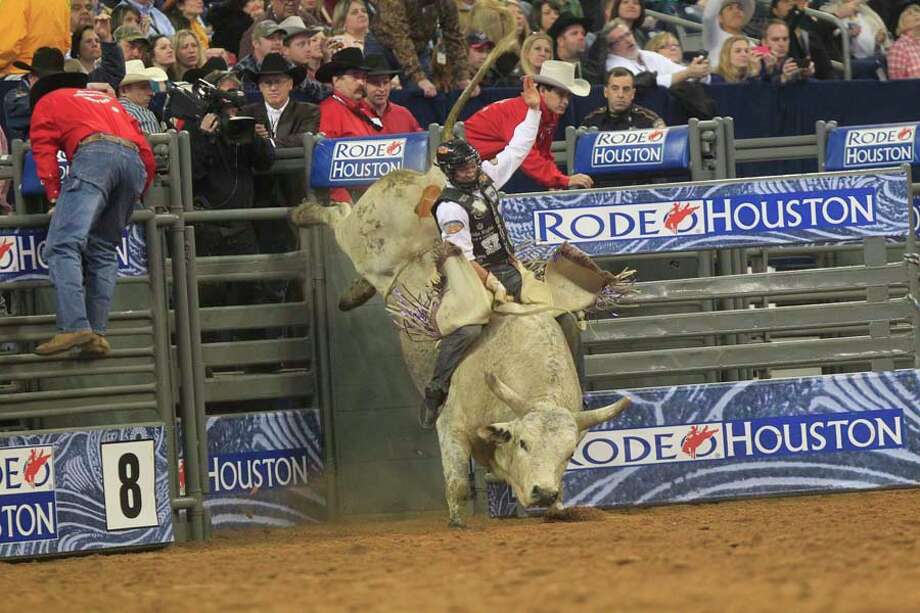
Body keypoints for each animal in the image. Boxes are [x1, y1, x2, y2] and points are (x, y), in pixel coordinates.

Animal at [294, 167, 632, 524]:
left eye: (568, 452)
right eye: (523, 443)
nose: (544, 492)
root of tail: (421, 180)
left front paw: (558, 507)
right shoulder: (451, 425)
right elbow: (457, 483)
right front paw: (458, 521)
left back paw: (352, 293)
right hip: (362, 238)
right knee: (339, 216)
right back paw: (304, 213)